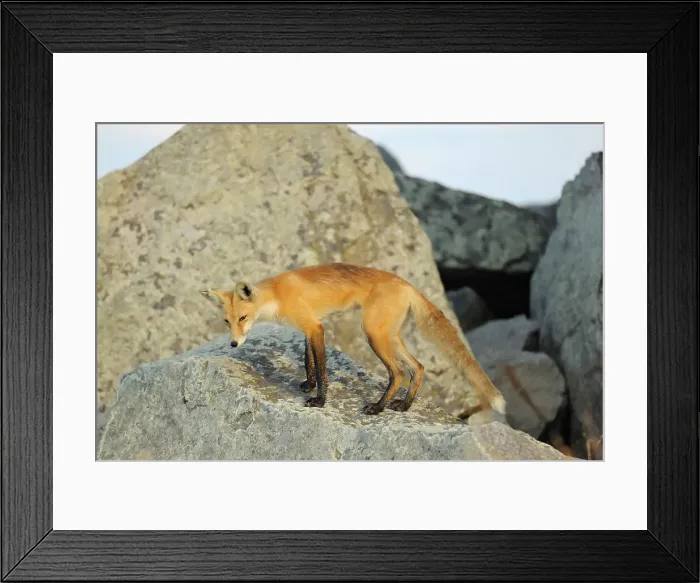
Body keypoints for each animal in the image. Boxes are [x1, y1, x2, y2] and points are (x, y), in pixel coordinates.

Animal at [200, 263, 506, 417]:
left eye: (243, 318)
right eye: (227, 322)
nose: (233, 344)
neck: (276, 295)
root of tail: (406, 284)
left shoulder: (315, 326)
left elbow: (323, 369)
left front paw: (320, 400)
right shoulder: (309, 327)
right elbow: (309, 361)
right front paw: (308, 385)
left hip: (373, 334)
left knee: (398, 372)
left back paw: (378, 408)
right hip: (390, 336)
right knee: (418, 367)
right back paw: (405, 406)